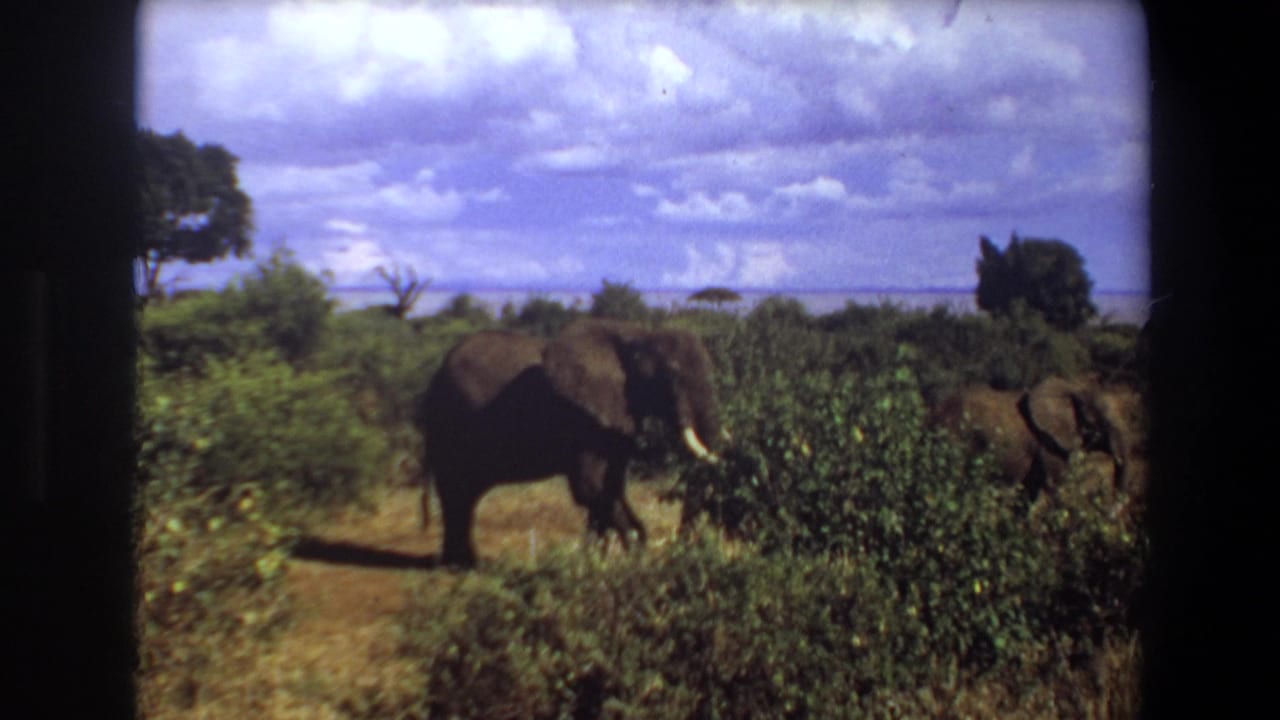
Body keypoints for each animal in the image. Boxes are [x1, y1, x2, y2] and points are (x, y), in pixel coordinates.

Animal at [413, 319, 723, 566]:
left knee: (466, 495)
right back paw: (459, 565)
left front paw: (600, 559)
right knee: (456, 491)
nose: (683, 543)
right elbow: (590, 488)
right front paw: (635, 550)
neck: (637, 335)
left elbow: (612, 486)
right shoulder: (581, 418)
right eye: (671, 375)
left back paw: (463, 562)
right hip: (449, 424)